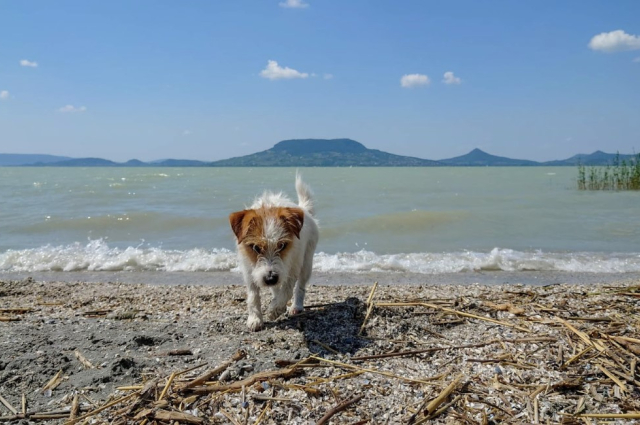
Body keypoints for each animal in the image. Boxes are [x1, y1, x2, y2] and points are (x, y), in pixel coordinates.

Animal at [230, 173, 320, 332]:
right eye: (255, 248)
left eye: (282, 245)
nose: (271, 278)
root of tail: (304, 210)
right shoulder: (249, 270)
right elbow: (253, 295)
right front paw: (255, 319)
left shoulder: (293, 267)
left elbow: (287, 290)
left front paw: (275, 310)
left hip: (306, 263)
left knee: (300, 287)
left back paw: (296, 306)